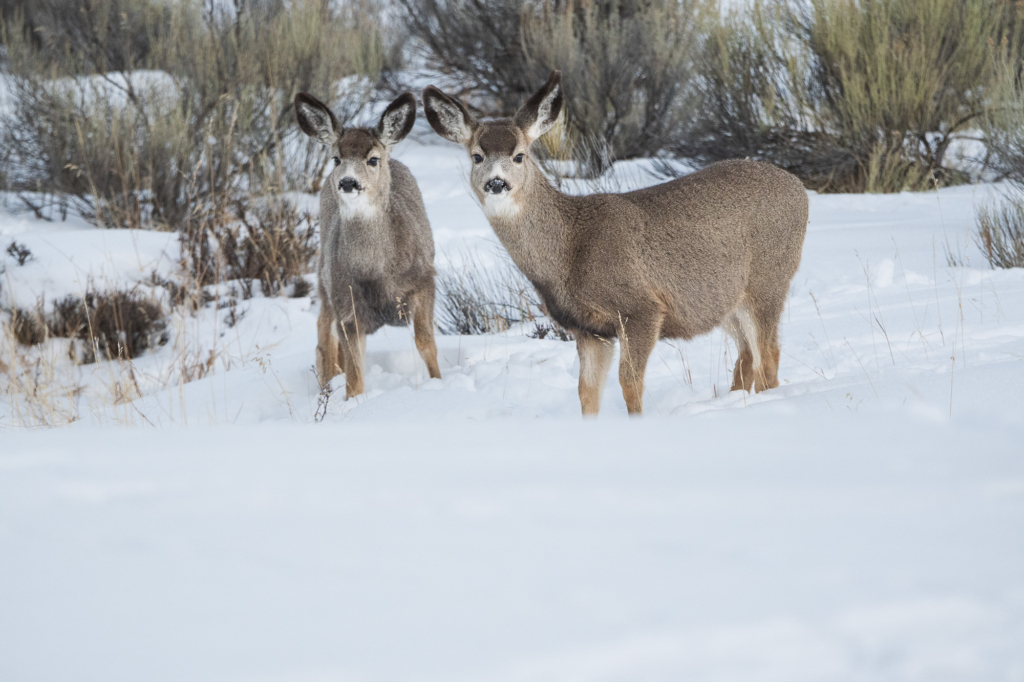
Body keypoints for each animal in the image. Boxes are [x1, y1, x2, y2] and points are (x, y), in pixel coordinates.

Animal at [294, 91, 442, 399]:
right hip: (324, 280)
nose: (348, 182)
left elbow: (425, 343)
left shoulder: (424, 280)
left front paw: (439, 382)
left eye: (373, 159)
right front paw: (353, 402)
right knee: (324, 335)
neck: (377, 272)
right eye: (336, 158)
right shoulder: (346, 303)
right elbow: (354, 373)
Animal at [423, 73, 806, 413]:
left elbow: (630, 383)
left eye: (519, 155)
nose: (496, 183)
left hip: (769, 281)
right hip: (725, 302)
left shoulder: (641, 308)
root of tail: (800, 189)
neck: (570, 249)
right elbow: (586, 391)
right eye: (476, 156)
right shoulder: (589, 329)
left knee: (769, 357)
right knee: (748, 358)